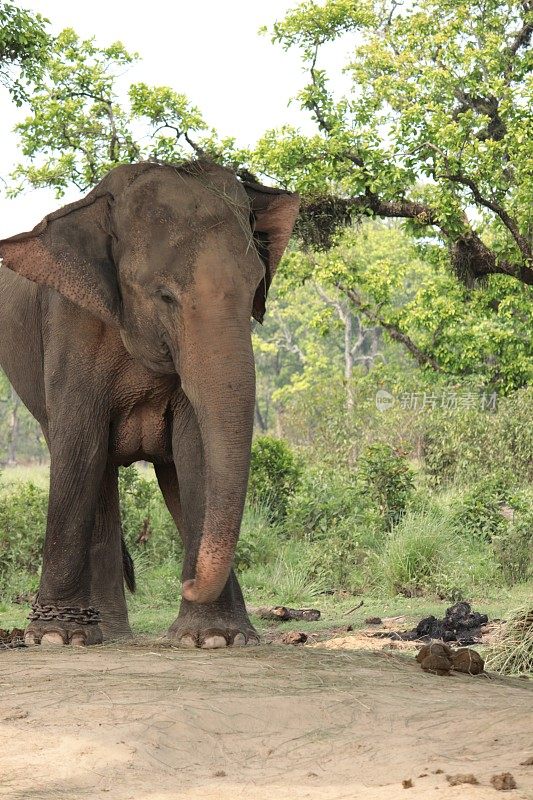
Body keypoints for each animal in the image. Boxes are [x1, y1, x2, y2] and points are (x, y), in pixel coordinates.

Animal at [0, 159, 300, 648]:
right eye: (165, 296)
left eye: (255, 287)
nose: (188, 582)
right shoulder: (70, 321)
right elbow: (79, 446)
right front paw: (54, 637)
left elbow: (196, 450)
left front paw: (214, 638)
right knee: (94, 464)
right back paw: (100, 632)